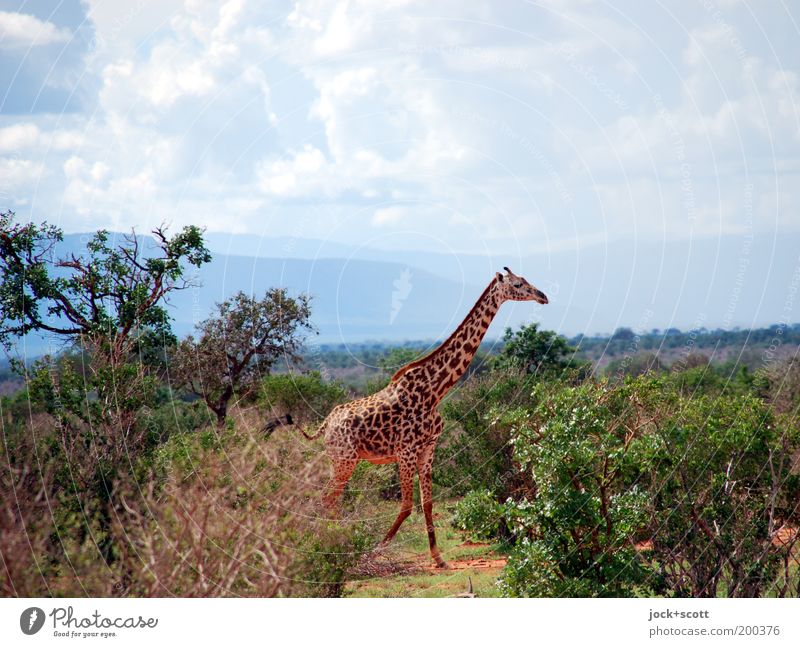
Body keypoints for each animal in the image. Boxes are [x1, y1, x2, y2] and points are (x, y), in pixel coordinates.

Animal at [296, 266, 548, 564]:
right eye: (518, 284)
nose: (542, 296)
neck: (435, 391)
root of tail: (326, 423)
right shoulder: (406, 451)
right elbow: (407, 505)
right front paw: (375, 550)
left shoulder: (428, 448)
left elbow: (427, 503)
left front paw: (438, 557)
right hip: (344, 459)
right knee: (327, 499)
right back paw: (337, 545)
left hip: (346, 459)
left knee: (329, 499)